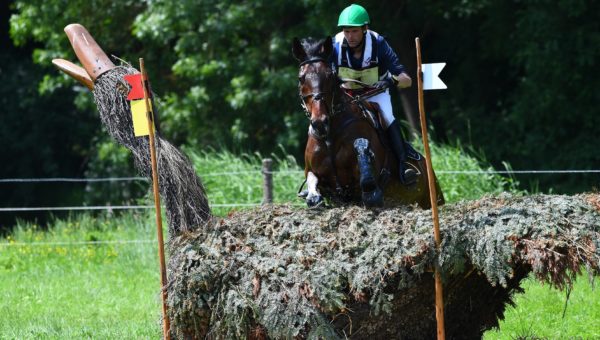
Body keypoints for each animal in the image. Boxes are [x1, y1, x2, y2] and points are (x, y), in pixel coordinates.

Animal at [292, 35, 442, 209]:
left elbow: (367, 180)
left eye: (329, 75)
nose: (320, 122)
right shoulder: (316, 174)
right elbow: (312, 184)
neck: (329, 135)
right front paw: (313, 198)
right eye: (300, 78)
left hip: (431, 197)